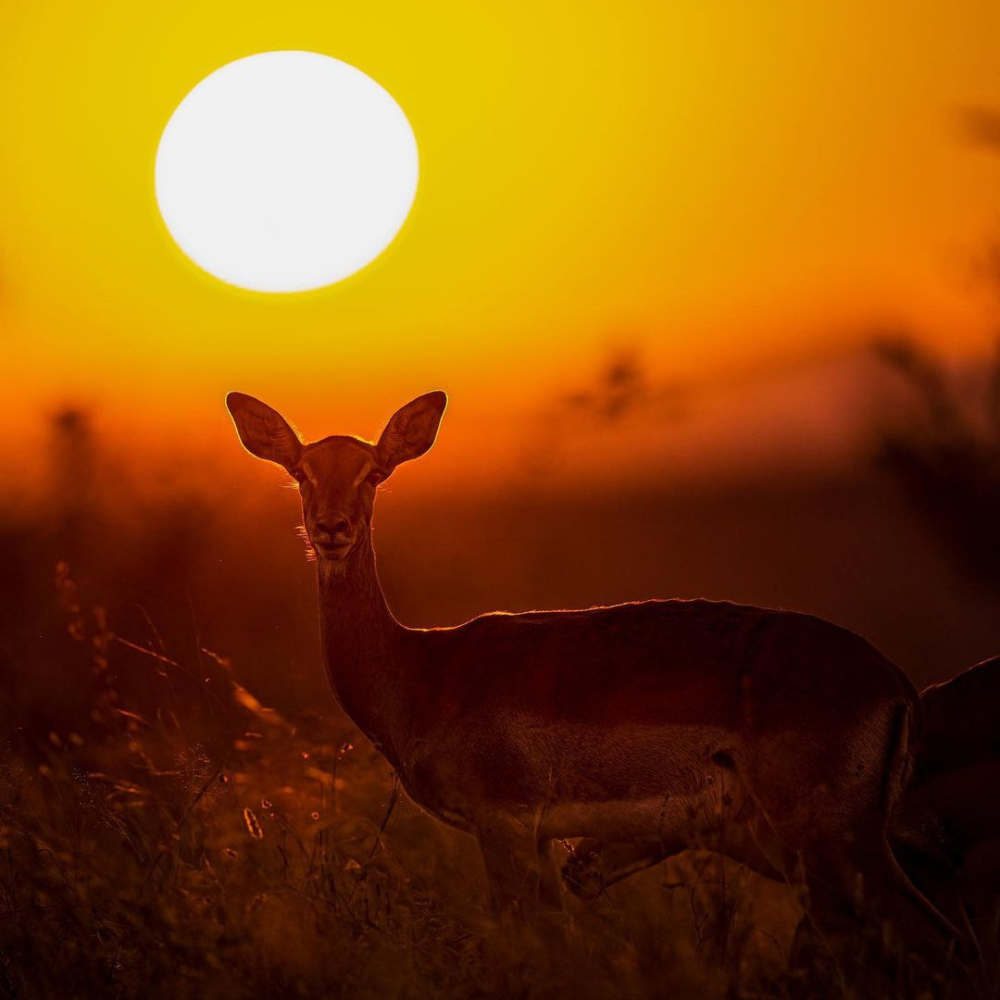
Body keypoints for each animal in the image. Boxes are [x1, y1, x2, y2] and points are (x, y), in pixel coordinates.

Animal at [225, 386, 960, 964]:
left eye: (374, 473)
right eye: (300, 470)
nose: (331, 529)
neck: (423, 670)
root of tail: (894, 681)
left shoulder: (506, 821)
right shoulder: (546, 839)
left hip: (834, 844)